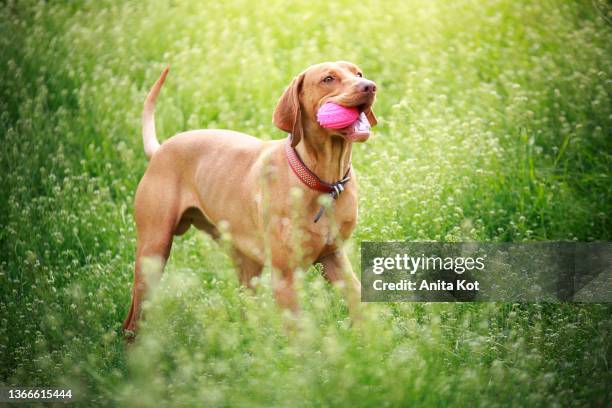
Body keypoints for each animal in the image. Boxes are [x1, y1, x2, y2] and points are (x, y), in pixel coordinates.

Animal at [122, 59, 376, 334]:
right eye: (328, 79)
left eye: (358, 73)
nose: (369, 86)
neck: (325, 183)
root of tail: (160, 150)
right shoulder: (285, 278)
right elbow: (298, 333)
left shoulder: (333, 257)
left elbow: (357, 300)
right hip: (153, 252)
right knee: (133, 318)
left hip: (245, 261)